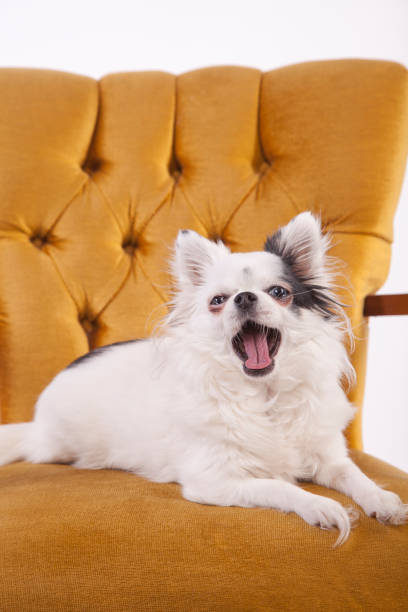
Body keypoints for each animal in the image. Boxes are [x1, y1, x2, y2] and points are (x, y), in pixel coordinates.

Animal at [0, 212, 408, 544]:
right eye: (218, 300)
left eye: (279, 293)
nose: (244, 297)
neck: (265, 395)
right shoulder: (214, 482)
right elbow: (279, 486)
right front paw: (321, 506)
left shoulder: (329, 457)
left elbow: (355, 476)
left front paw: (382, 499)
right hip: (55, 446)